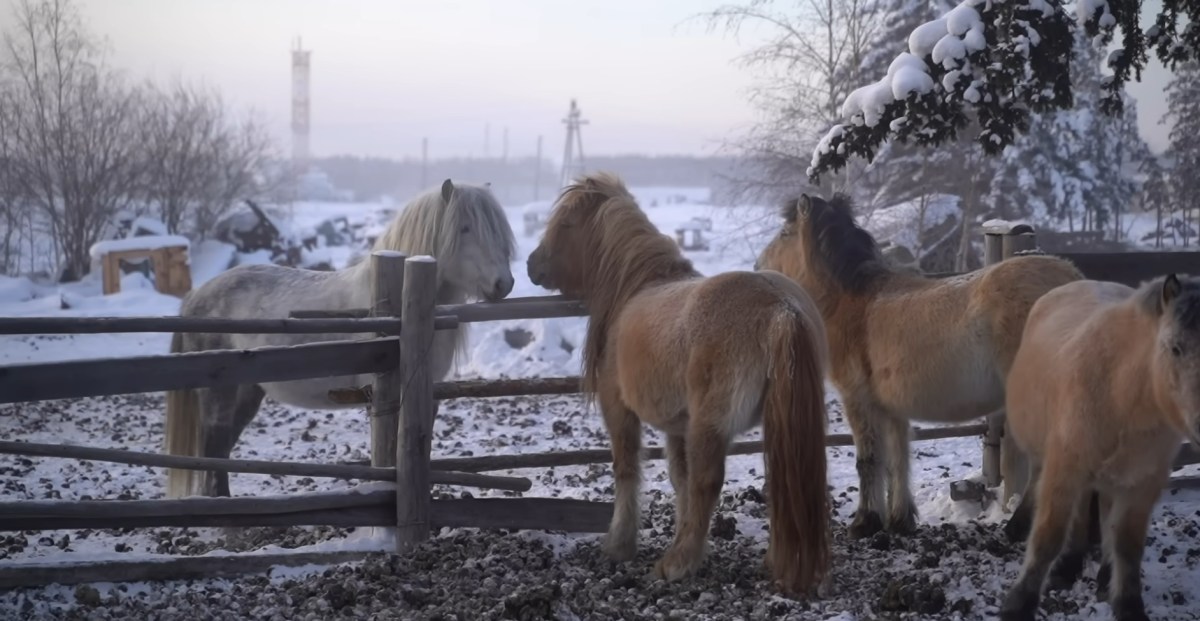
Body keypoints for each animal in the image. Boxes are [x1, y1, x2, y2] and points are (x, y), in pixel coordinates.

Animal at [163, 179, 516, 501]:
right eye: (465, 228)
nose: (504, 283)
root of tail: (196, 295)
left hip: (249, 391)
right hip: (218, 393)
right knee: (214, 445)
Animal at [525, 171, 835, 599]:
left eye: (566, 224)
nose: (531, 264)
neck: (635, 286)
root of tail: (781, 309)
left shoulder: (619, 409)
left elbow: (629, 469)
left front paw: (621, 543)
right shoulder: (678, 426)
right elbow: (680, 480)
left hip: (712, 424)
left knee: (710, 483)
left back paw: (676, 565)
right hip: (780, 420)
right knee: (782, 478)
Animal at [758, 194, 1089, 539]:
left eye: (785, 233)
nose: (759, 265)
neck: (853, 303)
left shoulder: (857, 400)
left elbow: (869, 460)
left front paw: (865, 521)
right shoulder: (891, 408)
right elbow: (898, 460)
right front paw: (899, 520)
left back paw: (1019, 527)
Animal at [993, 276, 1200, 621]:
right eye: (1175, 348)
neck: (1122, 396)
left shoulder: (1142, 483)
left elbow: (1127, 544)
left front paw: (1127, 604)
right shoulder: (1064, 471)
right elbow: (1049, 536)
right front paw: (1019, 604)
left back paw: (1100, 575)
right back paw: (1062, 563)